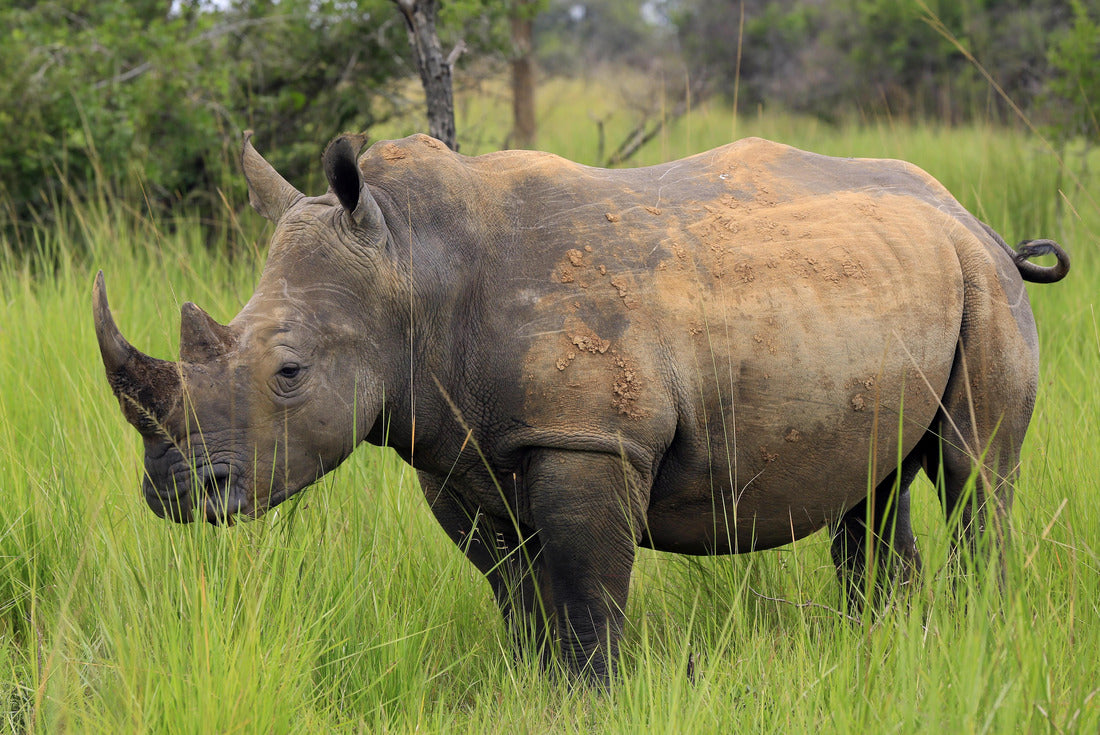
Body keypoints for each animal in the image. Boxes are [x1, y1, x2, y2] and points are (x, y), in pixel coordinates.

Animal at [93, 132, 1069, 683]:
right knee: (872, 487)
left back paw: (975, 629)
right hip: (886, 284)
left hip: (982, 281)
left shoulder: (589, 439)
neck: (411, 265)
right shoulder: (455, 450)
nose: (175, 492)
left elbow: (589, 589)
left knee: (977, 470)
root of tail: (969, 215)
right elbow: (516, 589)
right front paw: (536, 689)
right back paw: (884, 640)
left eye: (288, 372)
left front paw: (594, 695)